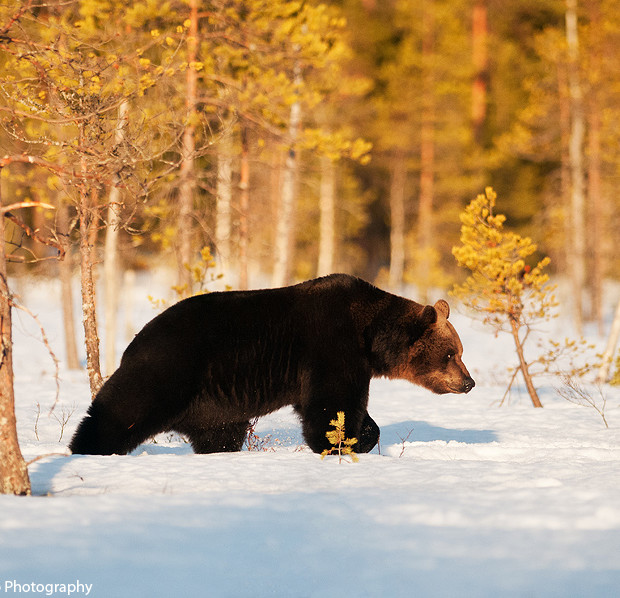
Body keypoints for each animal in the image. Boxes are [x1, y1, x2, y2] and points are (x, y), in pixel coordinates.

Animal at [69, 274, 474, 458]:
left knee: (218, 435)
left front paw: (362, 436)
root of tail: (135, 339)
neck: (370, 337)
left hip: (214, 407)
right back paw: (85, 448)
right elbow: (332, 405)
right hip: (168, 368)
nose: (469, 382)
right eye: (451, 353)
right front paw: (341, 443)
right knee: (123, 408)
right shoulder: (331, 347)